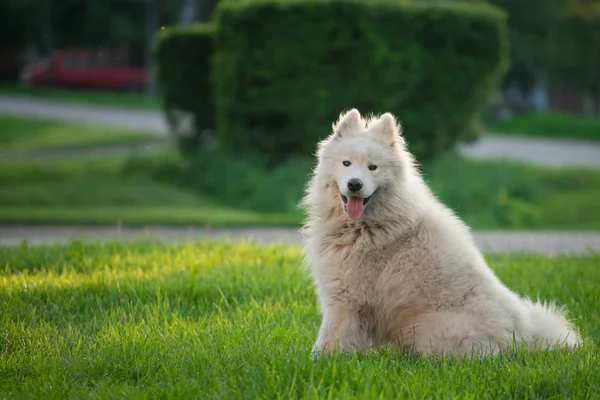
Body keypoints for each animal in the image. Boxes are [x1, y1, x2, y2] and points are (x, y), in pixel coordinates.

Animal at [300, 108, 580, 356]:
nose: (354, 184)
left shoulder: (345, 299)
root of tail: (525, 336)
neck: (370, 225)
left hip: (433, 332)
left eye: (372, 167)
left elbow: (329, 339)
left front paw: (318, 361)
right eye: (346, 163)